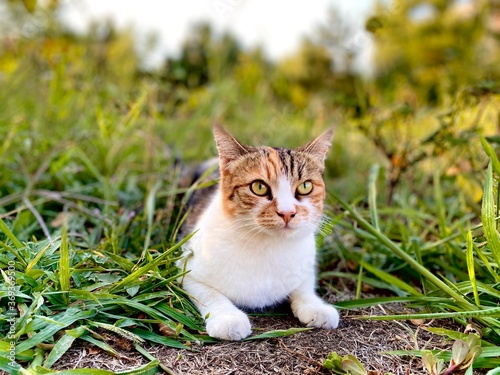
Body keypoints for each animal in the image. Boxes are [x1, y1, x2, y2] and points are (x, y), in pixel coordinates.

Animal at [178, 125, 338, 340]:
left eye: (305, 186)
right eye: (259, 187)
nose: (287, 212)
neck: (268, 245)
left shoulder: (305, 264)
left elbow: (304, 286)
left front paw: (316, 306)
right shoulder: (185, 268)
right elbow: (210, 293)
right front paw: (228, 318)